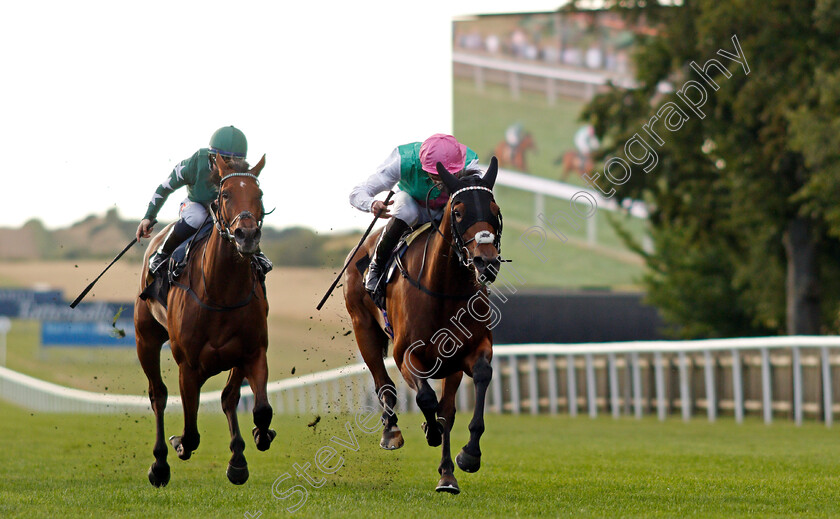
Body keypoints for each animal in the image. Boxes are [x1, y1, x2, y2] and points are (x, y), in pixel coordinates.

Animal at [133, 154, 274, 488]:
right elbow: (191, 432)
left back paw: (238, 457)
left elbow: (258, 408)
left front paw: (252, 445)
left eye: (259, 194)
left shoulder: (252, 352)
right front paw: (177, 445)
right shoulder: (188, 365)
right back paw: (160, 464)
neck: (220, 292)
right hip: (146, 339)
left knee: (228, 398)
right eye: (225, 195)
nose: (247, 235)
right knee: (158, 395)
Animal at [344, 157, 502, 496]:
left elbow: (475, 383)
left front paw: (467, 456)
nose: (486, 262)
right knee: (384, 383)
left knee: (447, 409)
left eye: (494, 210)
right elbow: (425, 398)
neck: (443, 290)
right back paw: (391, 431)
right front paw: (429, 429)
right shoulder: (406, 354)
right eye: (459, 211)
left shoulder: (470, 350)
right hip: (363, 328)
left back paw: (447, 475)